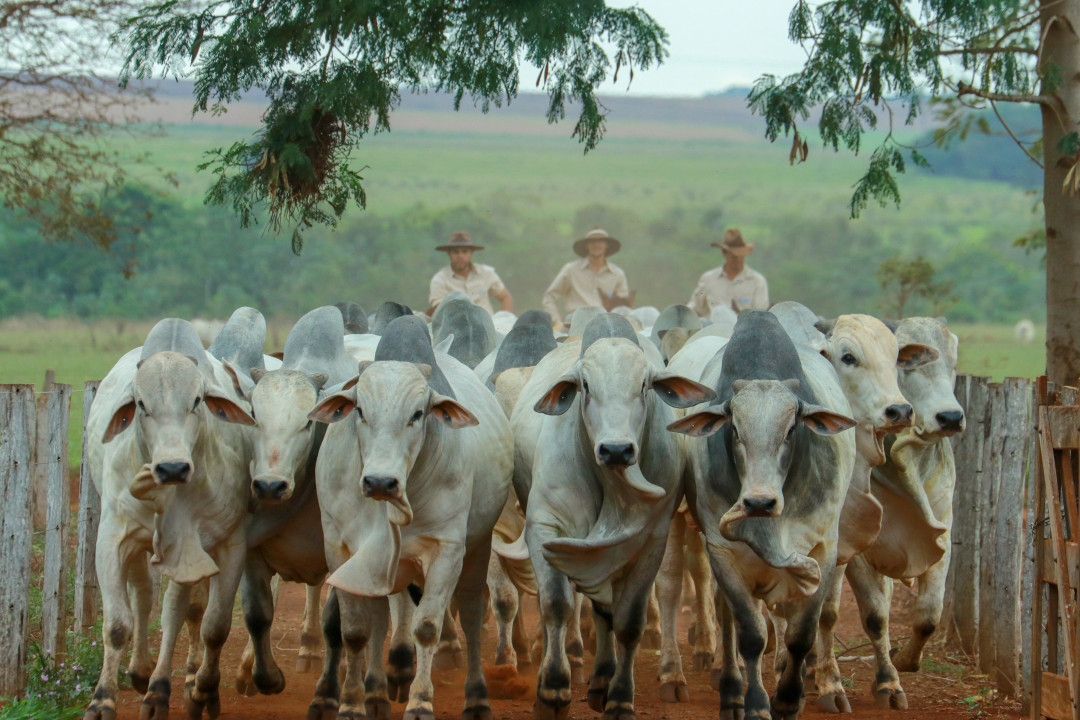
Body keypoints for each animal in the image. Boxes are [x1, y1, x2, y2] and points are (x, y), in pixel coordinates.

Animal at [84, 319, 254, 720]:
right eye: (141, 404)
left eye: (196, 401)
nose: (173, 468)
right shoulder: (113, 538)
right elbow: (117, 624)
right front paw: (102, 700)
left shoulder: (225, 545)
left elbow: (209, 624)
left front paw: (194, 692)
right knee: (145, 597)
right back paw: (141, 672)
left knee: (183, 611)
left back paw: (172, 686)